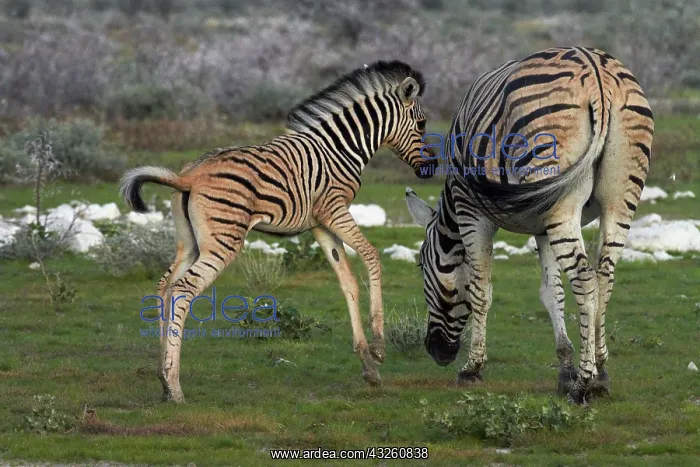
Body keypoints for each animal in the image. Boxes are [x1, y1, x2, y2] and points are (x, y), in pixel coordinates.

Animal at [120, 60, 436, 402]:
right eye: (421, 124)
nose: (430, 169)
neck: (341, 148)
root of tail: (188, 177)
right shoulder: (334, 209)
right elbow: (371, 256)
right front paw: (378, 348)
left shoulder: (319, 223)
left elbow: (347, 282)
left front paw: (368, 367)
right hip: (223, 241)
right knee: (183, 290)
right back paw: (175, 385)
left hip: (189, 243)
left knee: (165, 287)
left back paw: (163, 380)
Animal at [405, 47, 653, 404]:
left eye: (421, 267)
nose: (436, 352)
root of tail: (597, 73)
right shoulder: (541, 226)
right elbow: (552, 292)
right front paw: (565, 369)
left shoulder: (472, 213)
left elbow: (481, 290)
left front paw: (472, 368)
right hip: (617, 196)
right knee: (604, 275)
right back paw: (601, 373)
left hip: (559, 193)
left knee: (584, 277)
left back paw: (585, 384)